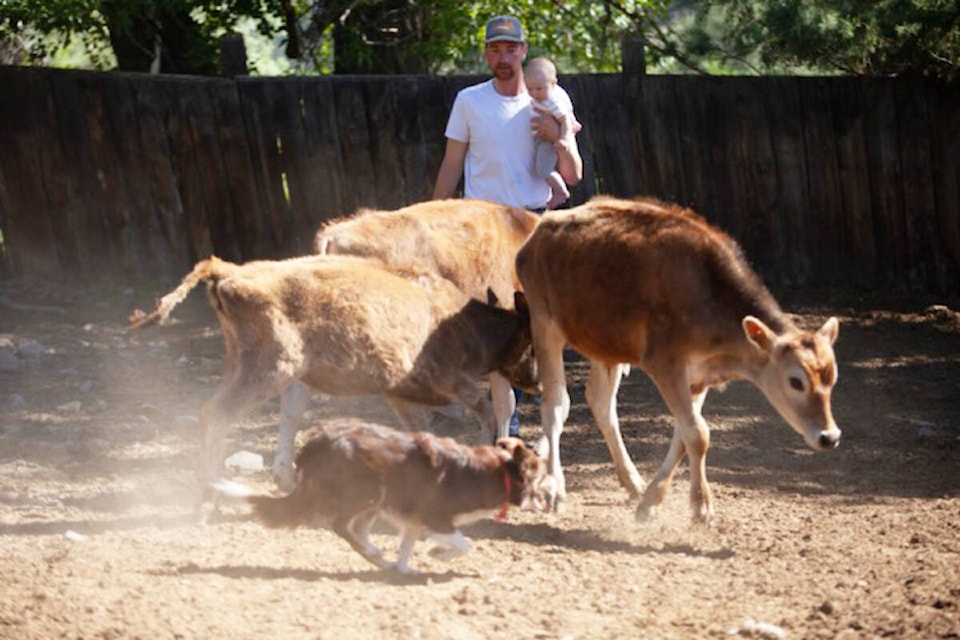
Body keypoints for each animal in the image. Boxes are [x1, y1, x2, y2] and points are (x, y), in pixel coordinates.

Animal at [131, 255, 540, 490]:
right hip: (267, 368)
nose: (537, 381)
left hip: (243, 365)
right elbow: (485, 410)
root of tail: (228, 272)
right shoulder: (451, 378)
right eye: (533, 343)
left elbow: (421, 429)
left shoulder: (399, 392)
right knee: (216, 414)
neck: (464, 321)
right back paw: (213, 490)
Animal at [214, 420, 552, 576]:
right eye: (542, 473)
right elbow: (464, 544)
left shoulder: (413, 519)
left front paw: (405, 567)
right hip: (370, 491)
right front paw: (437, 554)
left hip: (376, 501)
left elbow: (408, 546)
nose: (552, 496)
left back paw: (379, 557)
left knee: (357, 530)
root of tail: (315, 444)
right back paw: (373, 553)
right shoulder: (433, 515)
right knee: (341, 526)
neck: (497, 472)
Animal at [516, 195, 840, 520]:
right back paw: (556, 489)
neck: (708, 294)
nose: (829, 436)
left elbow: (686, 436)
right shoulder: (665, 364)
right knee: (556, 406)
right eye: (795, 381)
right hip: (545, 325)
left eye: (832, 379)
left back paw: (632, 481)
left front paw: (652, 500)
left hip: (605, 344)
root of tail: (540, 232)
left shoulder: (700, 376)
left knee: (600, 402)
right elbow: (698, 434)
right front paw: (702, 507)